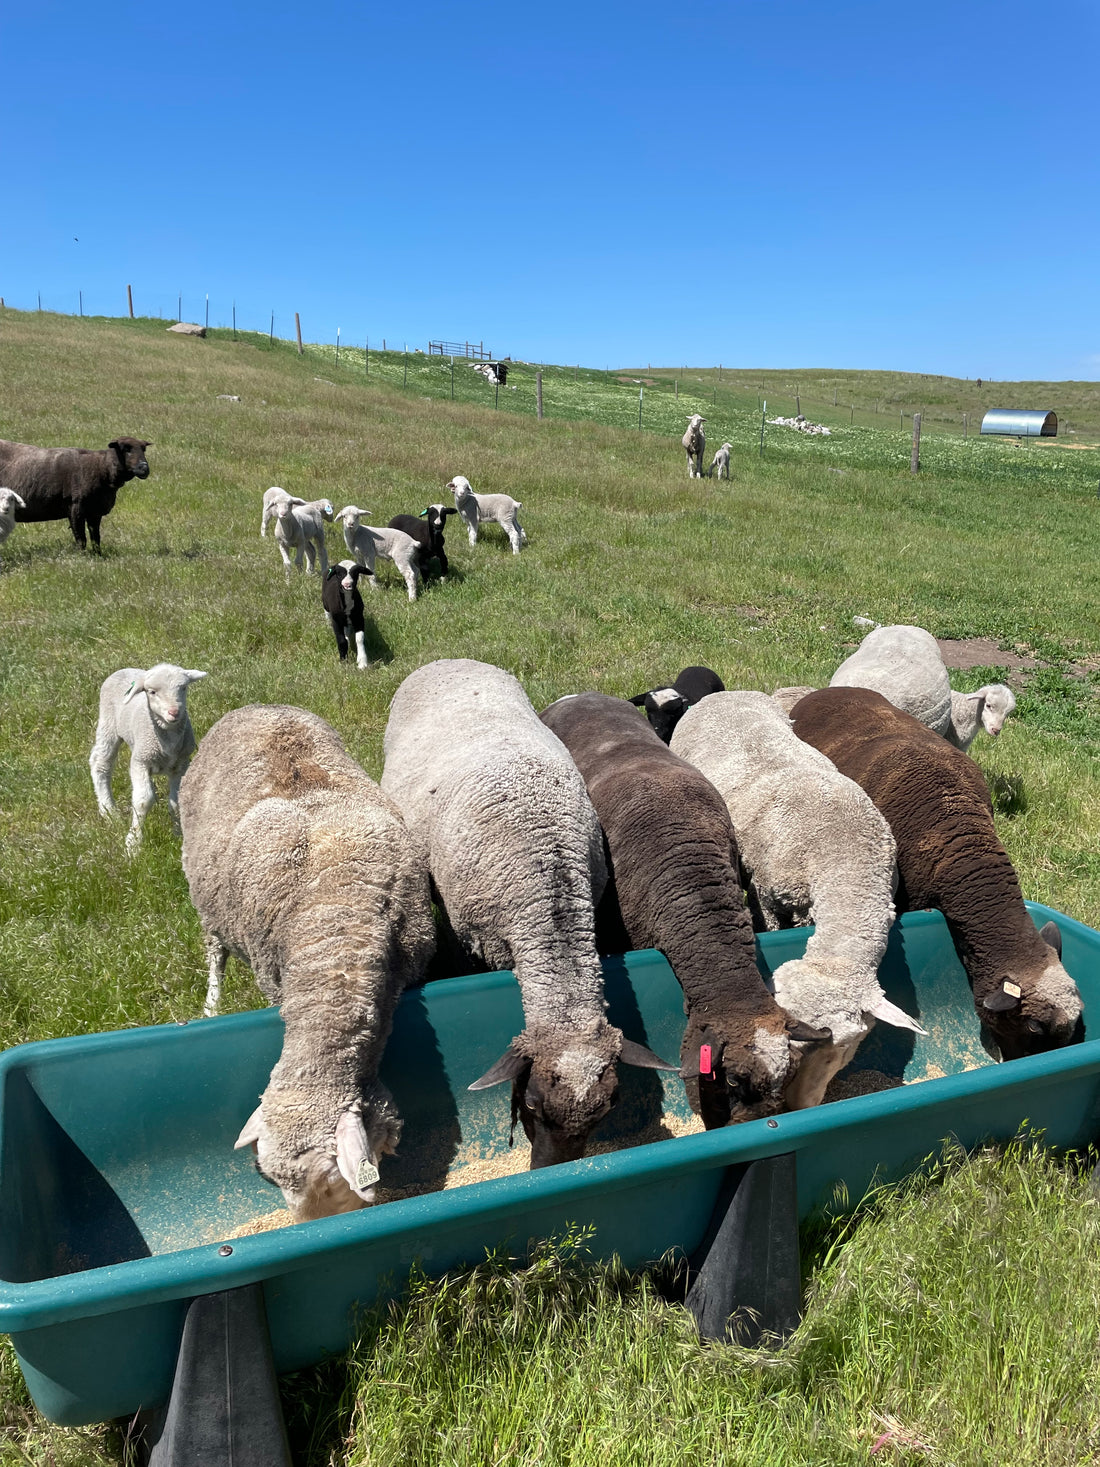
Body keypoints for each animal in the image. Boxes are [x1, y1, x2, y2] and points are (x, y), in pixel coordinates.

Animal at [0, 436, 150, 552]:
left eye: (144, 449)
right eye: (126, 448)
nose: (144, 468)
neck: (102, 468)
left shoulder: (94, 511)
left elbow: (96, 537)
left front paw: (98, 555)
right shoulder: (76, 507)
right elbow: (81, 538)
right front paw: (82, 557)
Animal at [89, 663, 208, 853]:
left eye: (183, 688)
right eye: (152, 692)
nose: (174, 712)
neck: (167, 741)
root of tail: (125, 669)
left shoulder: (181, 764)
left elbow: (176, 802)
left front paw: (178, 835)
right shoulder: (140, 761)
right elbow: (143, 800)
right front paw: (133, 843)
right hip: (108, 724)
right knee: (100, 763)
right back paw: (109, 811)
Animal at [179, 704, 435, 1220]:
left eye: (334, 1180)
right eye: (269, 1178)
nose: (308, 1227)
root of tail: (260, 706)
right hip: (205, 901)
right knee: (214, 950)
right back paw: (211, 1003)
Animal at [670, 691, 924, 1108]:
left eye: (846, 1048)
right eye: (795, 1046)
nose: (802, 1104)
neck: (845, 850)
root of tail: (725, 693)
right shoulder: (768, 893)